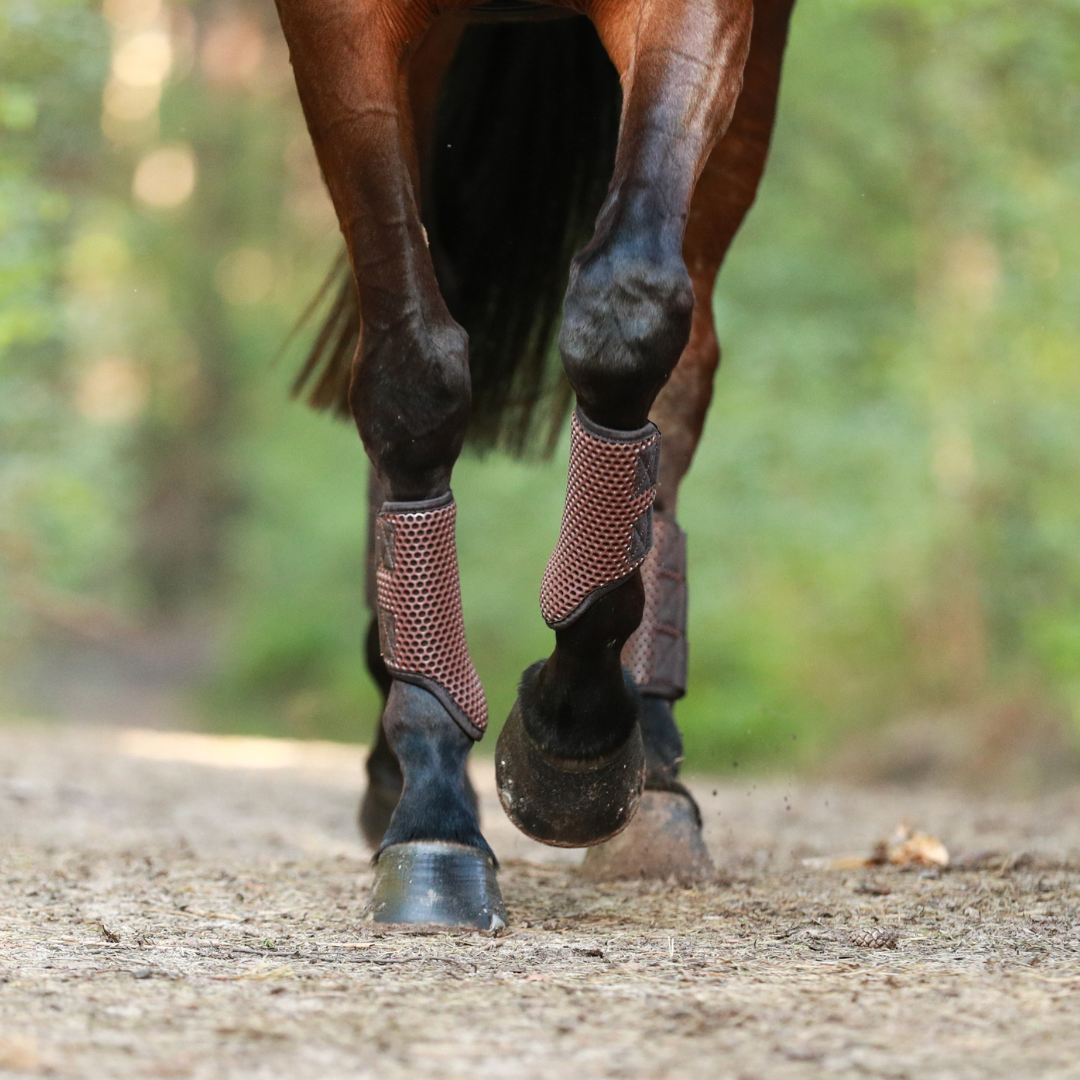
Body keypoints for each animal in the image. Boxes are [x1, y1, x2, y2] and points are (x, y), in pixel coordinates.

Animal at [274, 0, 799, 928]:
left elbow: (629, 309)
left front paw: (572, 740)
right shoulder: (336, 26)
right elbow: (411, 372)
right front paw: (433, 806)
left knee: (682, 353)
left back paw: (655, 778)